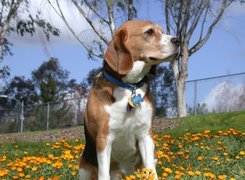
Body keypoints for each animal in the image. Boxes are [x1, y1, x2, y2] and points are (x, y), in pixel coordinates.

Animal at [79, 20, 179, 179]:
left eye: (162, 31)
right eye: (149, 32)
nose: (178, 40)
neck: (129, 87)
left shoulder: (145, 135)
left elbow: (151, 171)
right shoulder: (104, 139)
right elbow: (103, 174)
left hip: (153, 153)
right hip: (83, 167)